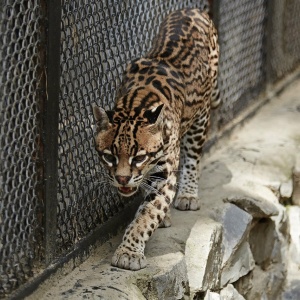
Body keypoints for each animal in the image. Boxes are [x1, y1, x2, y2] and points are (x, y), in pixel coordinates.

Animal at [92, 8, 219, 270]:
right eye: (109, 157)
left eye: (139, 157)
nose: (122, 178)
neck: (134, 105)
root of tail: (193, 9)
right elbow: (147, 199)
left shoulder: (164, 176)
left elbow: (147, 214)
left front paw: (129, 252)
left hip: (201, 118)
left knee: (193, 158)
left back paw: (188, 194)